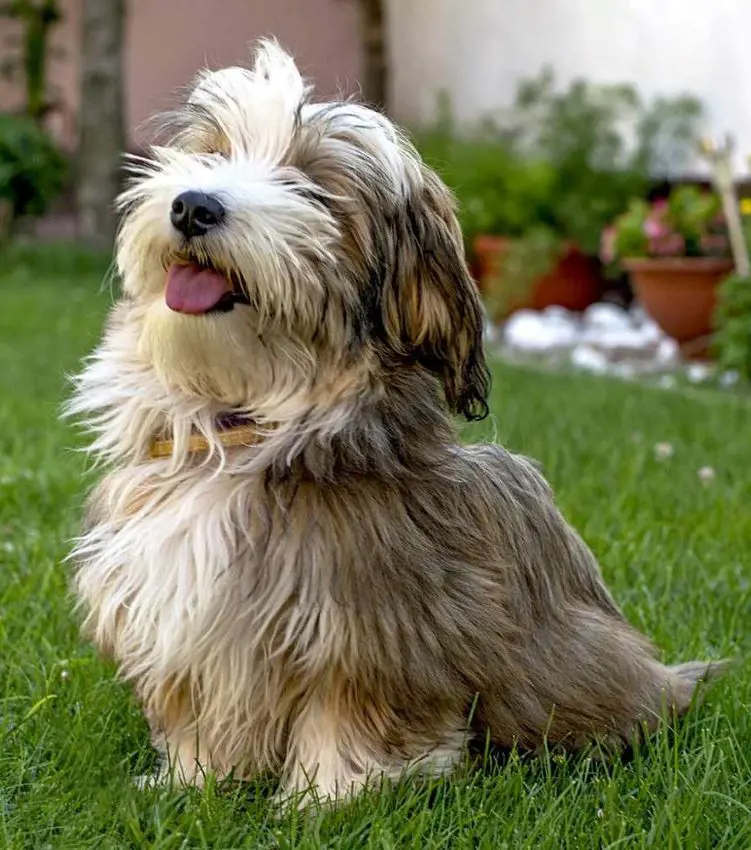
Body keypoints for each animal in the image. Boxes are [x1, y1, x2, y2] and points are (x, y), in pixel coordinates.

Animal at [67, 41, 724, 808]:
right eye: (213, 153)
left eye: (311, 186)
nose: (194, 205)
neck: (242, 426)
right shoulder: (174, 616)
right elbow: (195, 712)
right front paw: (189, 781)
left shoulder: (372, 623)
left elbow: (348, 712)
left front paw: (329, 798)